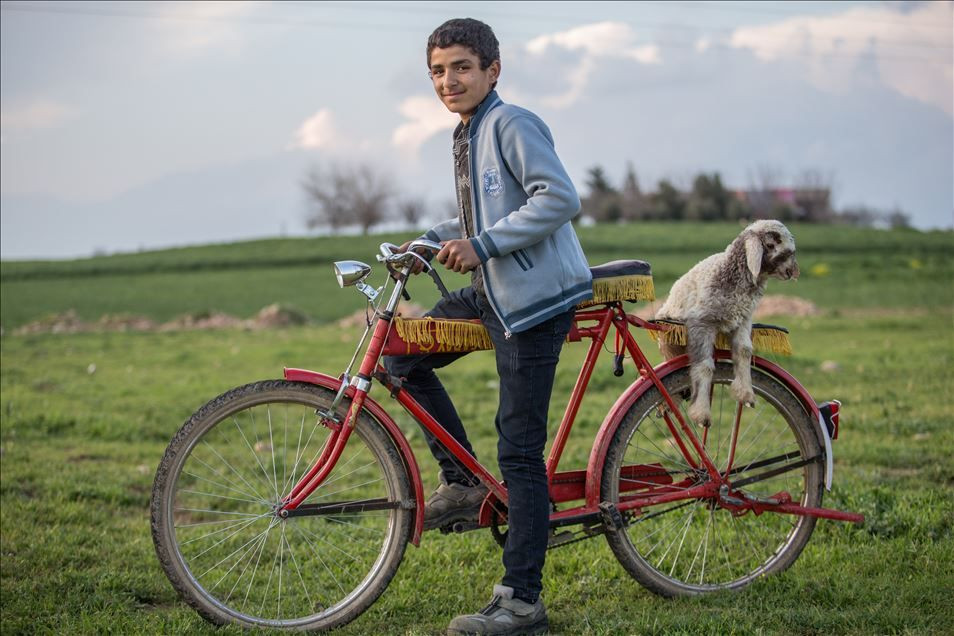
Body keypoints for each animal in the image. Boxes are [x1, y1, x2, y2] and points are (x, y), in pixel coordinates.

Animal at [656, 220, 796, 428]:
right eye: (771, 244)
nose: (791, 272)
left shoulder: (743, 319)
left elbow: (744, 352)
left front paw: (746, 394)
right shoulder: (701, 323)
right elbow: (704, 366)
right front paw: (702, 414)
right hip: (670, 339)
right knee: (669, 364)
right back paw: (668, 403)